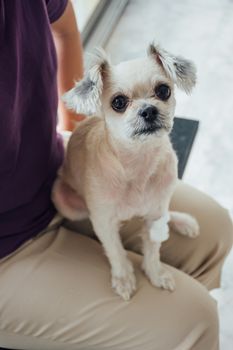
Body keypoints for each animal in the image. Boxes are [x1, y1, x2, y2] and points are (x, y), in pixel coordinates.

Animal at [52, 43, 199, 300]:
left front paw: (156, 273)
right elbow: (115, 250)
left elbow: (153, 248)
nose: (148, 110)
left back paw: (183, 221)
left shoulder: (154, 216)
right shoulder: (103, 222)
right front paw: (123, 278)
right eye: (118, 102)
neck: (138, 162)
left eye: (163, 90)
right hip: (64, 202)